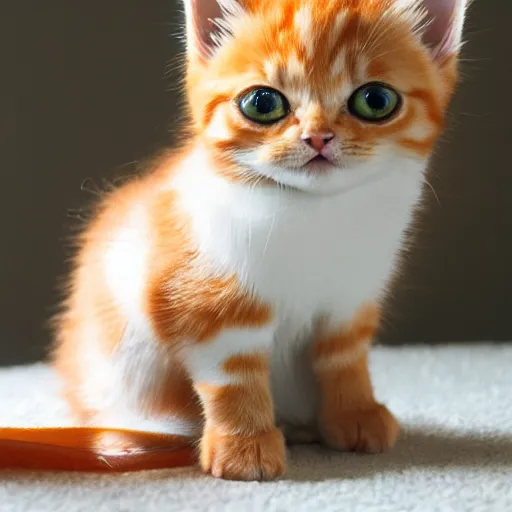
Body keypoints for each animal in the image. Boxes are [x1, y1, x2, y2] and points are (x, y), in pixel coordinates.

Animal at [52, 0, 468, 480]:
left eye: (376, 100)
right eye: (263, 103)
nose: (318, 136)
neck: (316, 215)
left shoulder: (351, 300)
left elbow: (344, 357)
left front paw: (355, 413)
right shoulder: (204, 299)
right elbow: (233, 376)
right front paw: (244, 447)